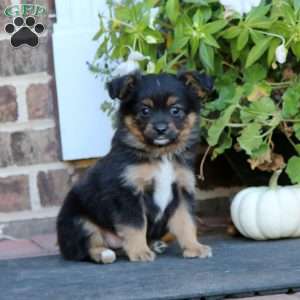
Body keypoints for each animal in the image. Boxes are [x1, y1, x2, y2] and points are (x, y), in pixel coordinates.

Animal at [56, 71, 213, 264]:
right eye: (145, 111)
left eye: (175, 110)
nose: (161, 129)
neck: (161, 154)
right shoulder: (128, 193)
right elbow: (135, 225)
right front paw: (139, 252)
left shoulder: (182, 190)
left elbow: (186, 222)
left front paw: (194, 247)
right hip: (79, 222)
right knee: (87, 248)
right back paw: (105, 254)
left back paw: (154, 244)